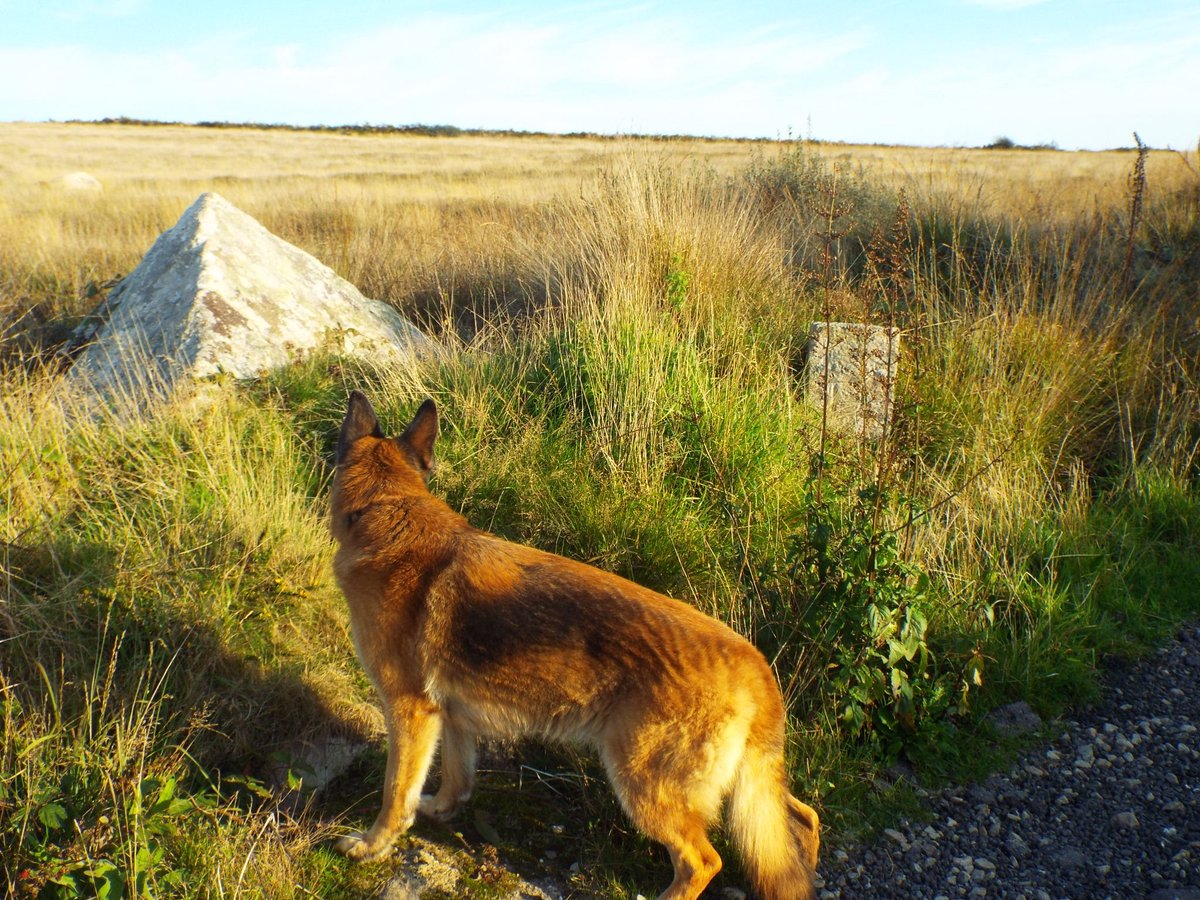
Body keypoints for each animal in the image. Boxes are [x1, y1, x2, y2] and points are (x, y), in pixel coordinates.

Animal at [326, 393, 816, 900]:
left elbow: (394, 794)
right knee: (803, 820)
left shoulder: (409, 712)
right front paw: (437, 809)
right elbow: (455, 781)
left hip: (642, 784)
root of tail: (754, 664)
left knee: (702, 860)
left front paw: (371, 845)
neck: (389, 508)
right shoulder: (453, 717)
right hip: (747, 791)